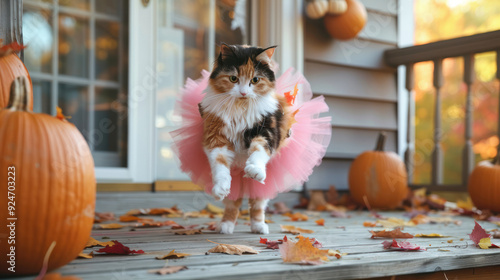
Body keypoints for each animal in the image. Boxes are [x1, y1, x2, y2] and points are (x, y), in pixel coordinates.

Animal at [199, 43, 294, 234]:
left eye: (255, 80)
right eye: (233, 78)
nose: (243, 92)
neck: (240, 107)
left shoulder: (266, 131)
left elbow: (258, 151)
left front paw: (255, 169)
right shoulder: (215, 137)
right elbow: (219, 164)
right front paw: (220, 187)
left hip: (262, 188)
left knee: (257, 205)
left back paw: (259, 227)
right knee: (232, 204)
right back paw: (226, 226)